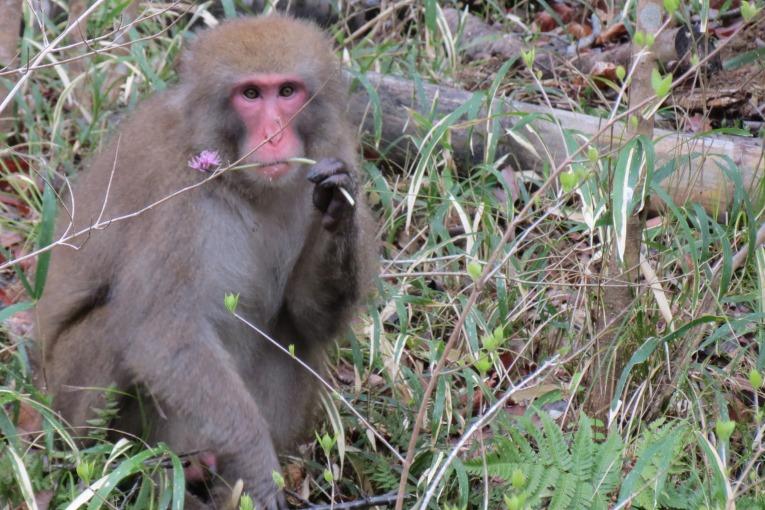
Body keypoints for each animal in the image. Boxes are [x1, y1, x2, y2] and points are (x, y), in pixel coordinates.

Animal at [35, 13, 376, 508]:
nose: (274, 134)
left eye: (286, 91)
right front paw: (257, 469)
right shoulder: (180, 200)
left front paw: (339, 210)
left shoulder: (333, 154)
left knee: (290, 336)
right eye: (250, 94)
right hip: (67, 403)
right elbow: (165, 334)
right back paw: (137, 474)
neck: (239, 181)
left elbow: (308, 320)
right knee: (115, 327)